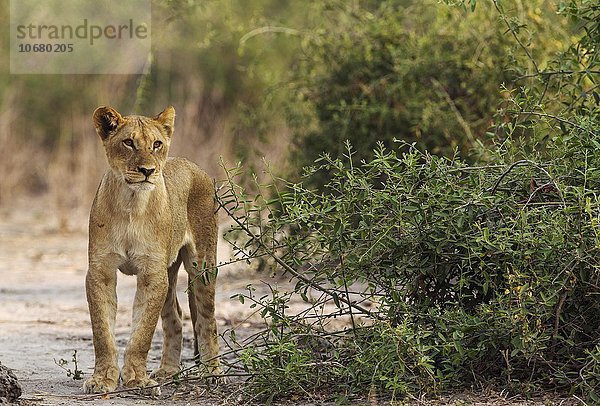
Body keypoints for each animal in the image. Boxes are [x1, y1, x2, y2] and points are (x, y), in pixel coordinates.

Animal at [84, 104, 220, 394]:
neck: (131, 204)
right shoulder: (101, 271)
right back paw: (168, 371)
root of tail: (195, 166)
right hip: (169, 272)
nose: (147, 170)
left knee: (206, 319)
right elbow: (102, 331)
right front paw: (103, 379)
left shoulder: (151, 273)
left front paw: (137, 379)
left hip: (202, 265)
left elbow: (142, 332)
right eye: (128, 142)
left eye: (157, 144)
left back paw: (213, 372)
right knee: (176, 317)